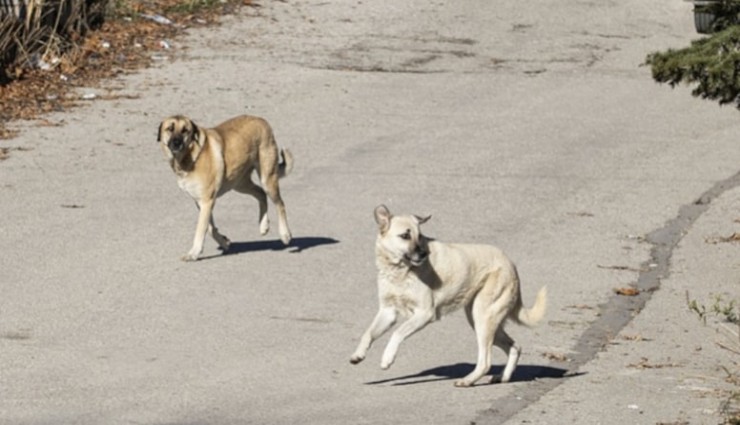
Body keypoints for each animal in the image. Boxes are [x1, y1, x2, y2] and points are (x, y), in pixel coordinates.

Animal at [158, 114, 294, 260]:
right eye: (170, 129)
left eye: (185, 130)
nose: (176, 143)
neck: (191, 156)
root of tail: (261, 120)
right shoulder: (201, 203)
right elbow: (209, 228)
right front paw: (224, 242)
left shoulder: (207, 201)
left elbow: (201, 229)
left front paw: (194, 253)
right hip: (240, 184)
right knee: (261, 193)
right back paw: (263, 226)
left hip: (267, 179)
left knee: (280, 204)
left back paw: (285, 234)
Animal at [350, 205, 548, 388]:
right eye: (405, 236)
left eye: (419, 236)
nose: (424, 254)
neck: (399, 270)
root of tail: (511, 264)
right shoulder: (388, 312)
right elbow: (368, 333)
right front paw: (358, 354)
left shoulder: (425, 314)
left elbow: (397, 333)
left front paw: (387, 358)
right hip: (481, 319)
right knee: (515, 347)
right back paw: (503, 377)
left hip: (483, 317)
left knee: (485, 361)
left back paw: (468, 380)